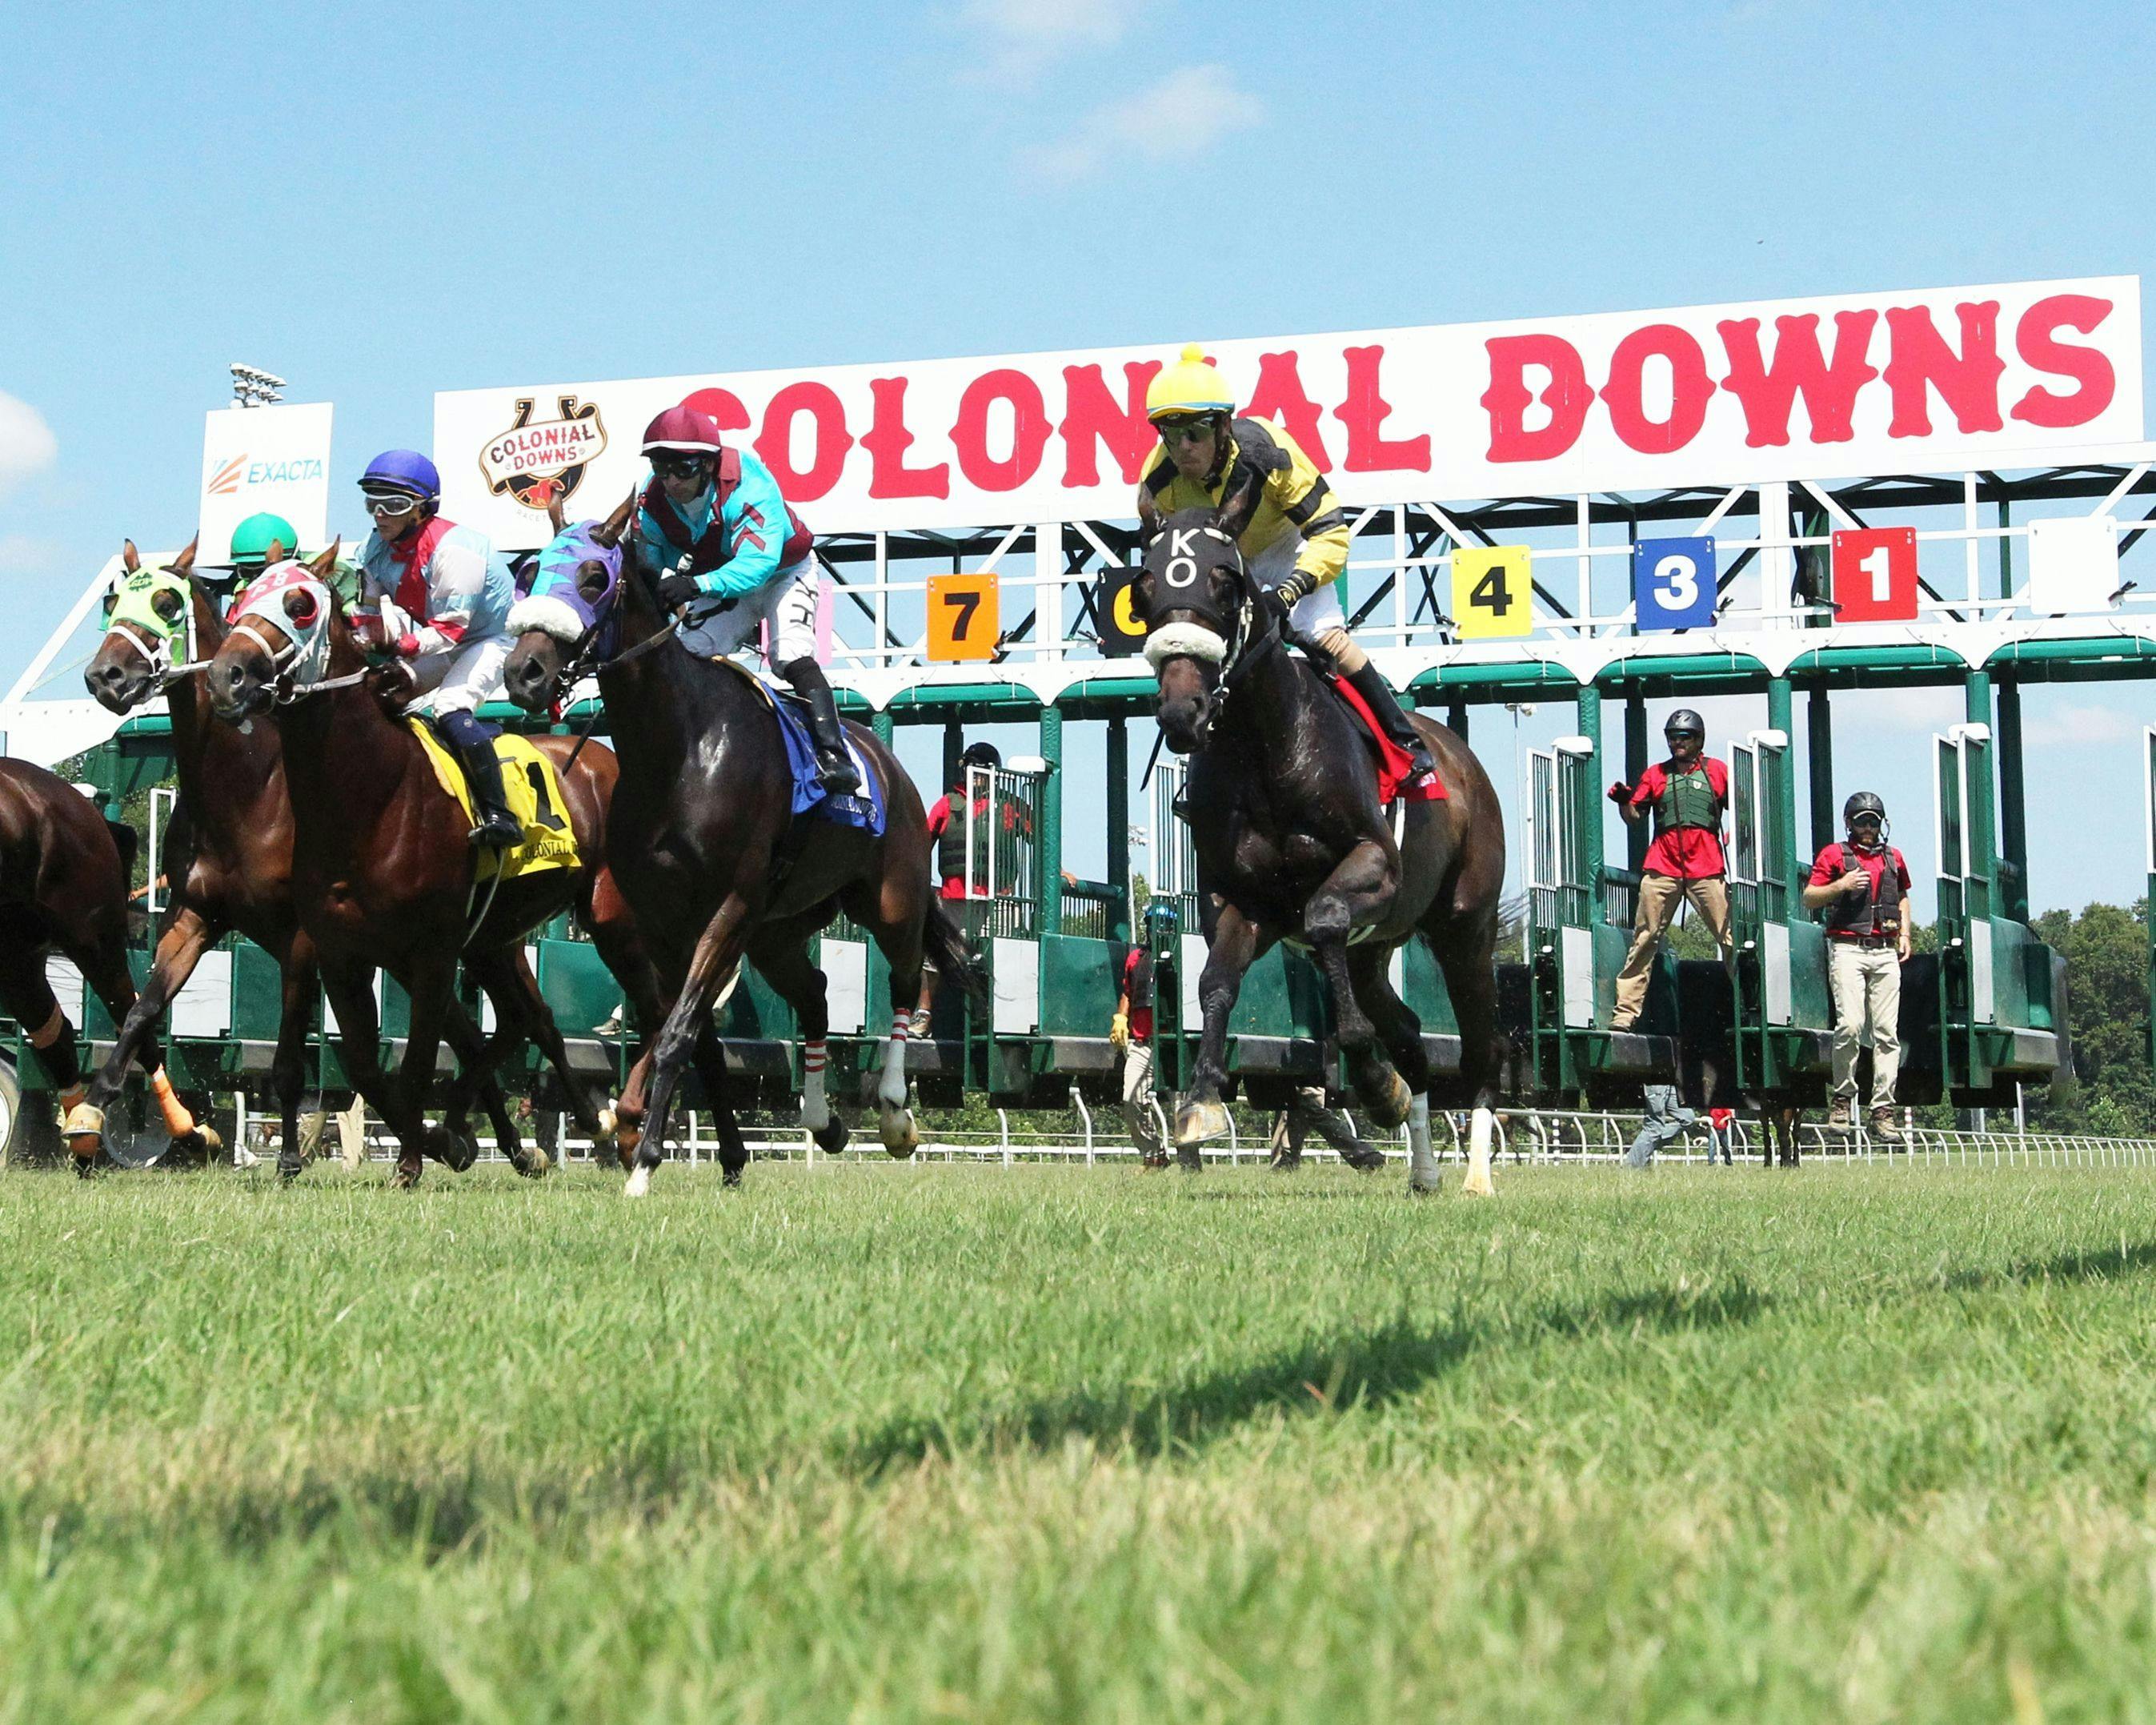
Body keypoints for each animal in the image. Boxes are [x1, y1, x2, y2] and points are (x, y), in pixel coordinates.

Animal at [212, 549, 655, 1189]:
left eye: (300, 604)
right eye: (241, 601)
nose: (226, 676)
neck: (369, 798)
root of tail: (606, 757)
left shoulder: (430, 954)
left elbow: (418, 1060)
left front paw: (415, 1160)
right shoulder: (344, 954)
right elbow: (367, 1068)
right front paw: (443, 1140)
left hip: (611, 921)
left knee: (647, 1007)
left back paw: (624, 1126)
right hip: (494, 940)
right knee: (527, 1018)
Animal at [495, 502, 987, 1198]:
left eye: (594, 577)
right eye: (530, 573)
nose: (523, 672)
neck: (679, 749)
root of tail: (888, 763)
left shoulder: (727, 907)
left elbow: (678, 1031)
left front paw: (645, 1160)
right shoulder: (666, 924)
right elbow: (696, 1035)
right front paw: (727, 1155)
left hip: (890, 900)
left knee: (904, 977)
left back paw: (894, 1113)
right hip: (778, 931)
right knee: (814, 992)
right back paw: (824, 1121)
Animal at [1138, 504, 1509, 1189]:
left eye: (1224, 583)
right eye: (1145, 587)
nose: (1182, 711)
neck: (1266, 745)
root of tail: (1462, 759)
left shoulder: (1375, 865)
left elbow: (1327, 915)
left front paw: (1372, 1079)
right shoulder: (1244, 900)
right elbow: (1216, 983)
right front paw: (1200, 1101)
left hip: (1465, 927)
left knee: (1481, 1043)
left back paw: (1476, 1175)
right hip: (1376, 949)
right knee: (1410, 1034)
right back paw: (1423, 1170)